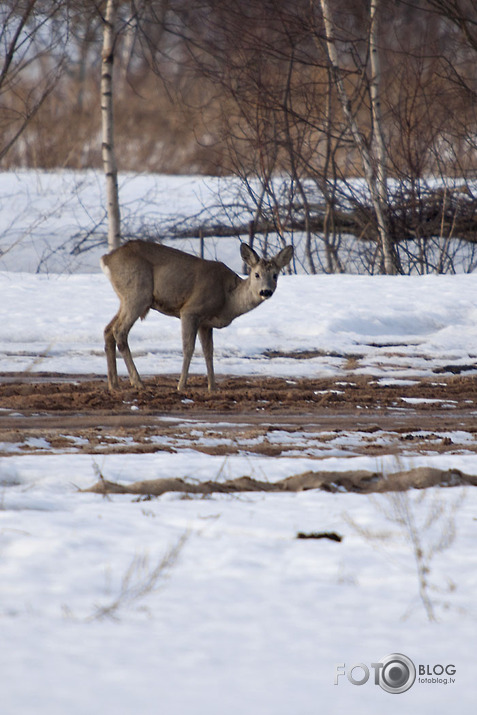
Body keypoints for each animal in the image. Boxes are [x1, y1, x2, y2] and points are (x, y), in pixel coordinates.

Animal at [101, 241, 294, 392]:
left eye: (275, 275)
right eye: (256, 274)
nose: (266, 291)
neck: (227, 299)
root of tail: (106, 259)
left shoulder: (205, 323)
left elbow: (209, 351)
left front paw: (212, 386)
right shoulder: (190, 310)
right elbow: (188, 348)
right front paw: (181, 385)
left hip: (126, 298)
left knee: (108, 330)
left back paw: (114, 384)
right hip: (138, 294)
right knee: (119, 330)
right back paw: (137, 382)